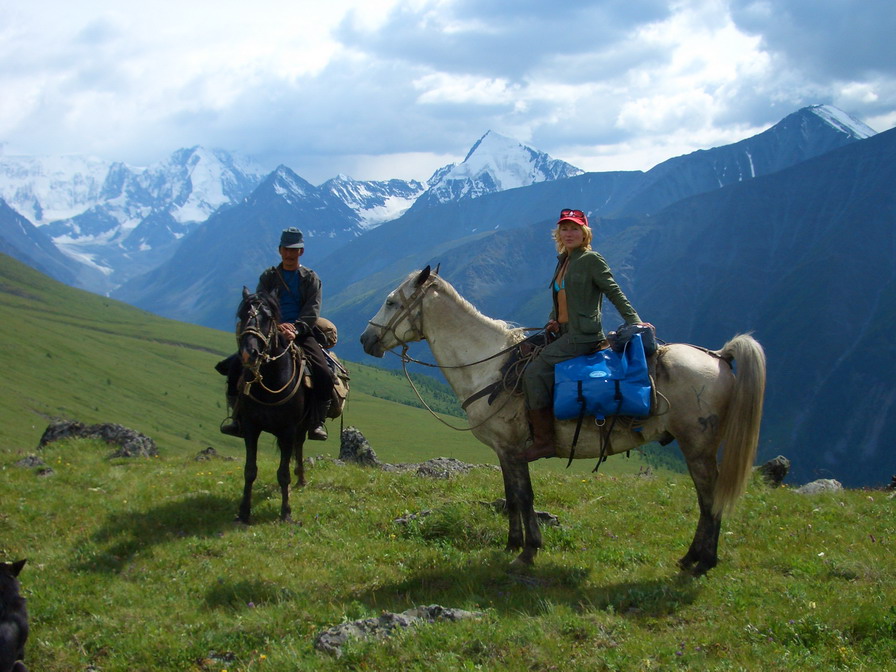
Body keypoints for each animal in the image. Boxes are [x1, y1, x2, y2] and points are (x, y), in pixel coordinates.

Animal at [233, 286, 314, 524]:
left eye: (268, 318)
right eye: (242, 315)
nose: (249, 353)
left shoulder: (288, 429)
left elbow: (283, 473)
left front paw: (286, 512)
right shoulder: (250, 427)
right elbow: (250, 470)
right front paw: (244, 511)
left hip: (302, 425)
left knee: (299, 446)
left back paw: (301, 478)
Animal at [360, 266, 768, 576]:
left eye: (391, 301)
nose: (365, 339)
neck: (490, 367)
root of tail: (718, 355)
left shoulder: (514, 449)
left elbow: (524, 496)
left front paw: (528, 552)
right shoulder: (505, 452)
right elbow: (511, 497)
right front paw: (511, 544)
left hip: (697, 447)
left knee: (709, 499)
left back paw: (702, 562)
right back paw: (692, 558)